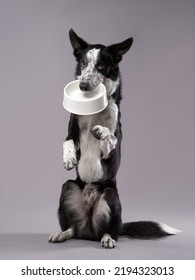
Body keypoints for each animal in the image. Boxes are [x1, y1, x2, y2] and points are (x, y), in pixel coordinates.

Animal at [48, 27, 178, 247]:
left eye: (101, 65)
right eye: (83, 63)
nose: (83, 86)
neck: (93, 110)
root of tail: (89, 230)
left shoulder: (112, 146)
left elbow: (109, 137)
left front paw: (101, 131)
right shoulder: (72, 130)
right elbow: (66, 142)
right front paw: (68, 158)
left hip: (110, 195)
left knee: (111, 231)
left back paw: (108, 238)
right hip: (68, 187)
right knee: (72, 229)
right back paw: (62, 233)